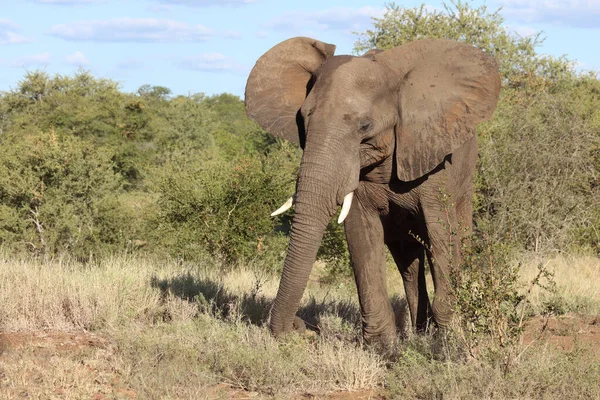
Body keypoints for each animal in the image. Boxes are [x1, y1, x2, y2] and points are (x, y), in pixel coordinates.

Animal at [244, 36, 502, 344]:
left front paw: (449, 341)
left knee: (454, 241)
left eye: (364, 126)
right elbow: (361, 237)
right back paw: (418, 333)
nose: (299, 326)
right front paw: (384, 347)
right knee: (407, 260)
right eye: (302, 121)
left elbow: (441, 237)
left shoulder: (434, 161)